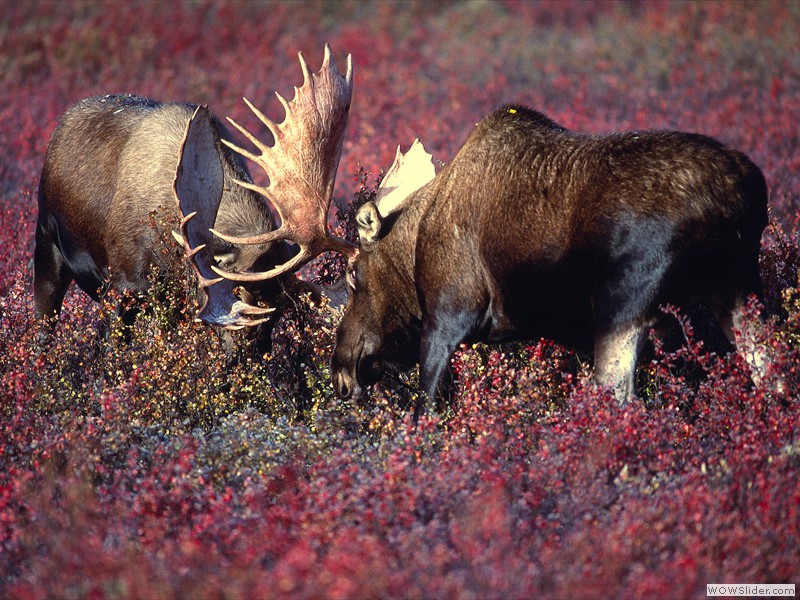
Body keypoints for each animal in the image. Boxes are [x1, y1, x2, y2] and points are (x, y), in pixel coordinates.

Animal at [175, 54, 770, 418]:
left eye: (354, 274)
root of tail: (738, 195)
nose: (340, 370)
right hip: (739, 294)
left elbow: (428, 407)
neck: (417, 236)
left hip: (627, 306)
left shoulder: (448, 314)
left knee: (621, 400)